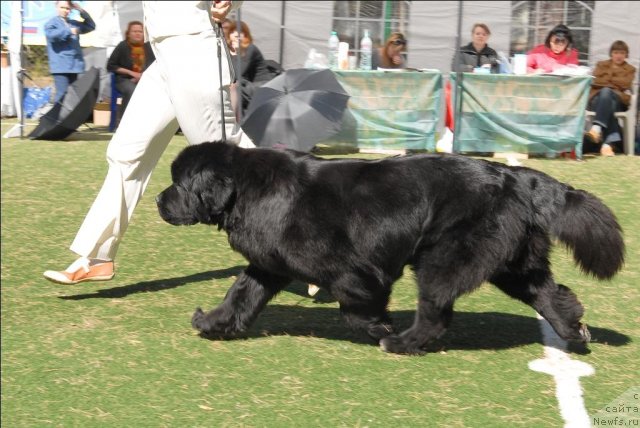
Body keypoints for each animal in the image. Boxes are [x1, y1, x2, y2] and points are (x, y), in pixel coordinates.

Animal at [158, 143, 624, 354]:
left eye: (178, 184)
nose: (159, 201)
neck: (244, 190)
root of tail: (516, 177)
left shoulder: (353, 270)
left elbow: (354, 307)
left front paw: (379, 327)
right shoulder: (267, 265)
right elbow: (240, 294)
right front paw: (213, 323)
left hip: (442, 259)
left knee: (436, 313)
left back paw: (401, 342)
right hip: (512, 264)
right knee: (552, 295)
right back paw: (574, 333)